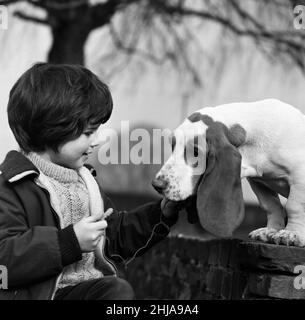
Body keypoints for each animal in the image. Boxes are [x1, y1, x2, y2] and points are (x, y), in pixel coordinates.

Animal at [152, 99, 305, 246]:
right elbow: (271, 206)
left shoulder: (299, 178)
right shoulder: (259, 182)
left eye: (195, 152)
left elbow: (293, 207)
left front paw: (292, 234)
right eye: (173, 146)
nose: (156, 185)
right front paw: (271, 230)